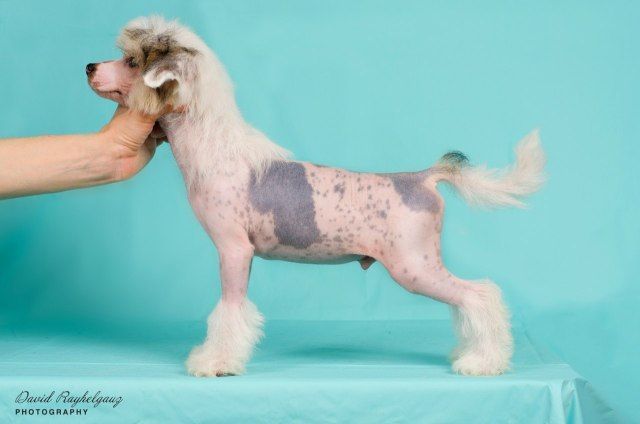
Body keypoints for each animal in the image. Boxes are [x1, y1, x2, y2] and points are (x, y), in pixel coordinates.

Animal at [87, 16, 545, 377]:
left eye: (131, 62)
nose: (89, 66)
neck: (216, 146)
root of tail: (421, 178)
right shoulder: (239, 254)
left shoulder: (233, 251)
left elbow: (230, 311)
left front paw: (216, 362)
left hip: (414, 266)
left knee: (479, 296)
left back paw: (484, 362)